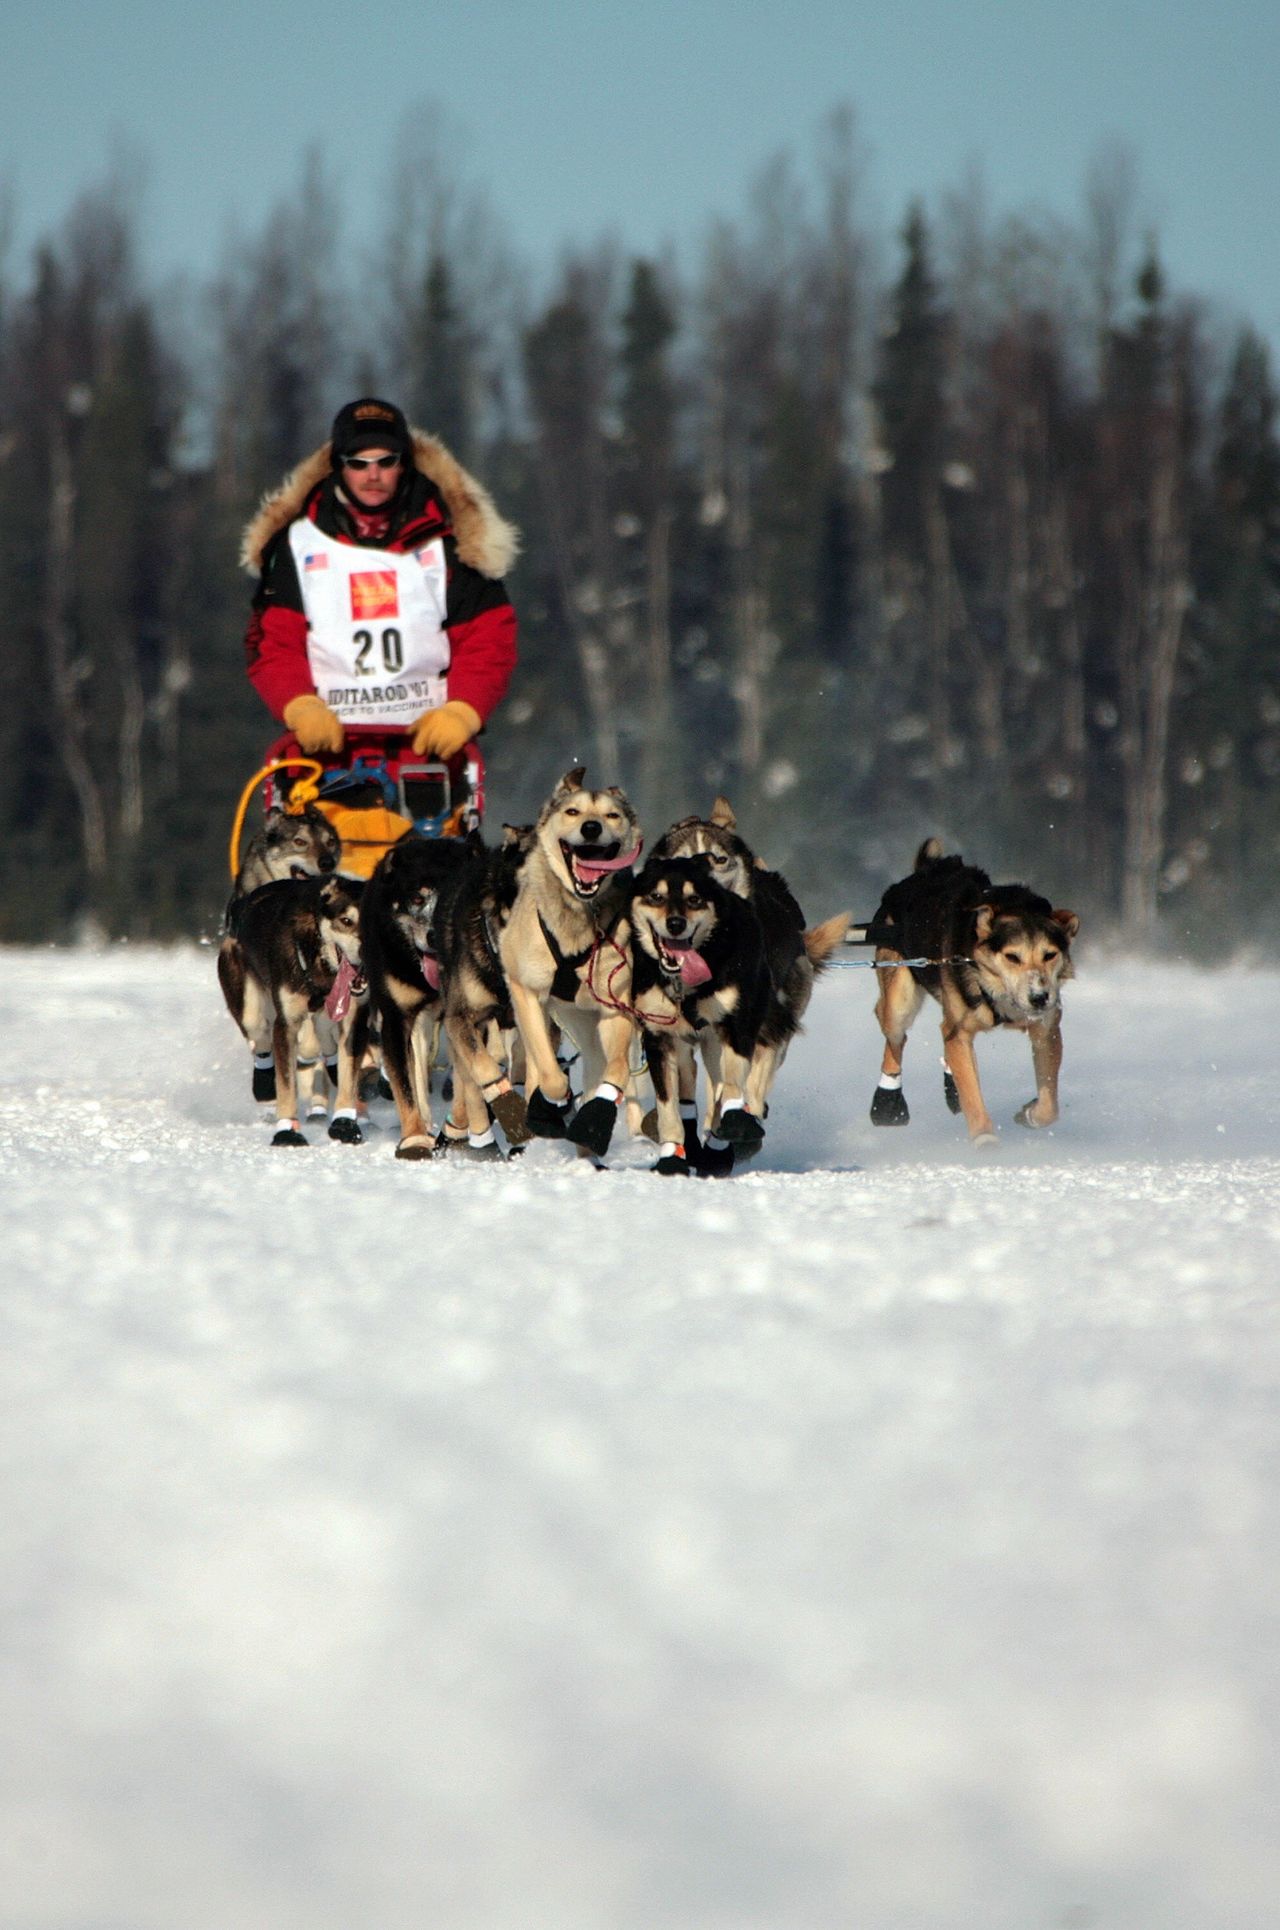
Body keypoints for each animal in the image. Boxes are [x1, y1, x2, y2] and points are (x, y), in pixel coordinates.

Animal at [872, 833, 1081, 1134]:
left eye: (1049, 955)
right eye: (1012, 956)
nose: (1039, 997)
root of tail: (922, 872)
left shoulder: (1046, 1029)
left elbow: (1049, 1106)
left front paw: (1031, 1113)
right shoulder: (959, 1031)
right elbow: (973, 1098)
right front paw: (985, 1138)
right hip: (900, 999)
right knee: (893, 1030)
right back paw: (887, 1101)